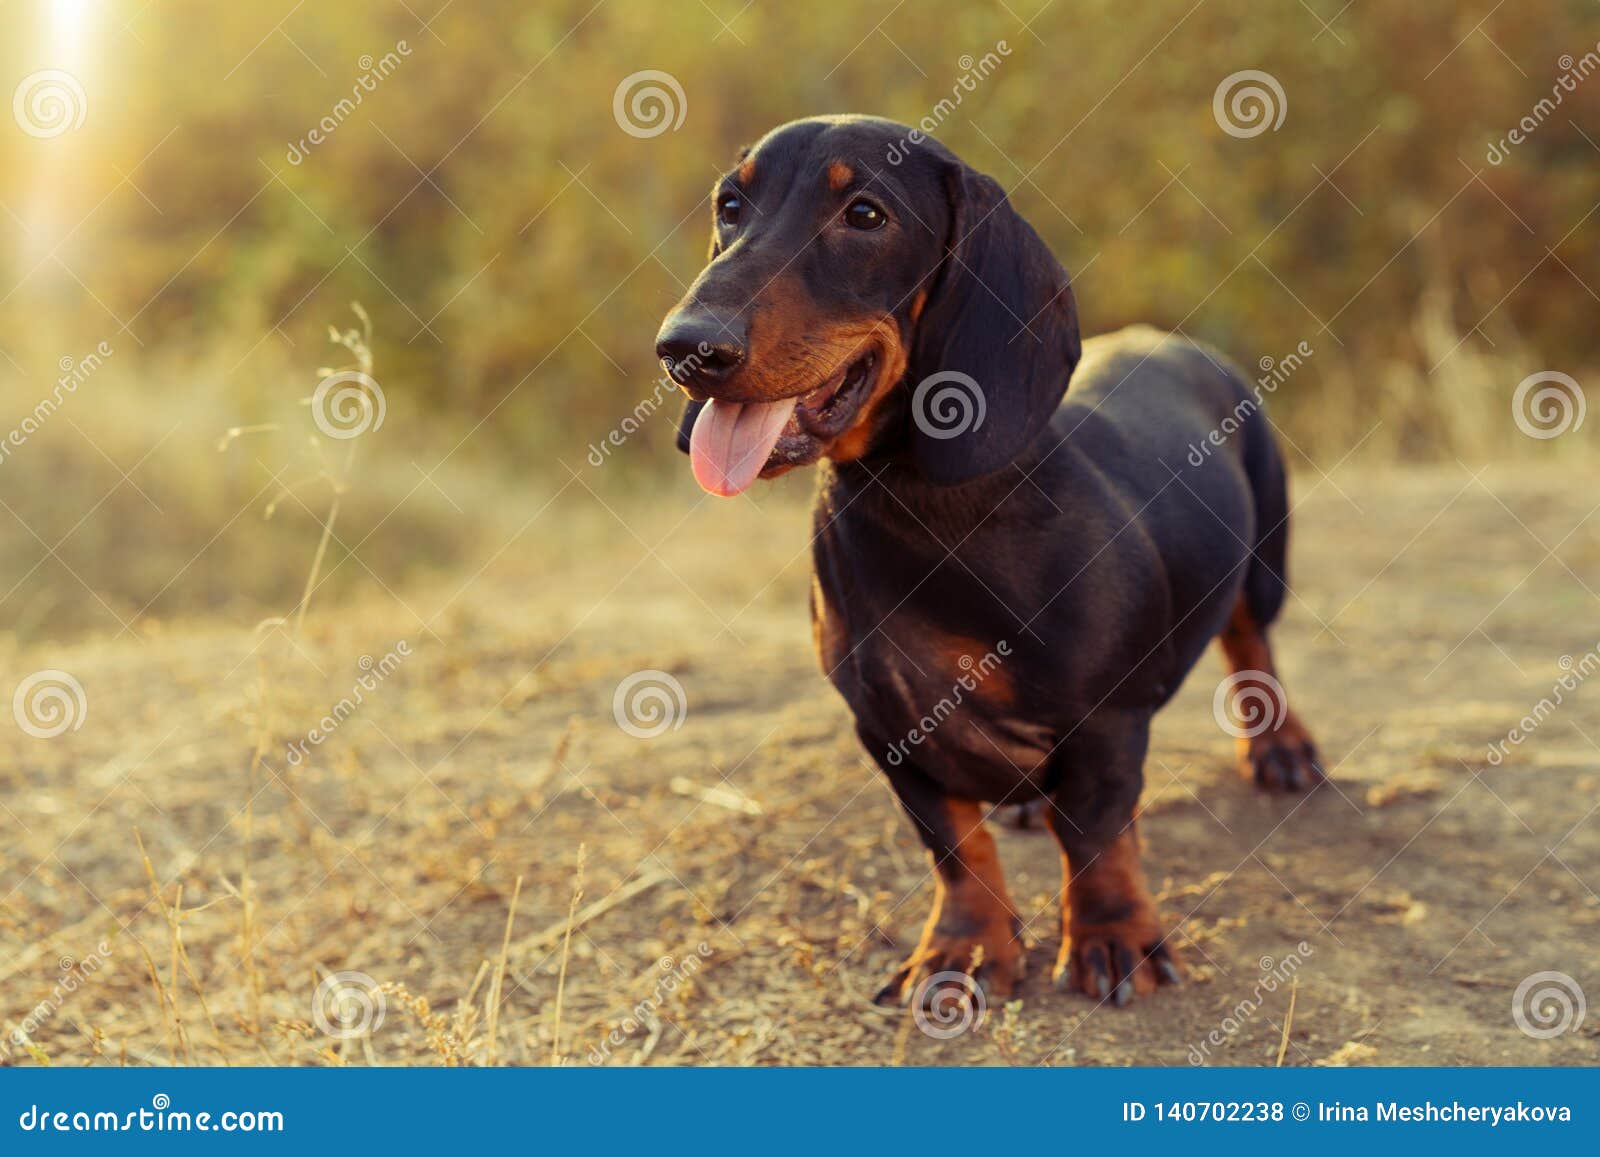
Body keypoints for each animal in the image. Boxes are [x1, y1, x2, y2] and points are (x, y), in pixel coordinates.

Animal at [652, 112, 1324, 1011]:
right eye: (731, 205)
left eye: (865, 215)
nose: (685, 348)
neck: (925, 511)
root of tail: (1181, 343)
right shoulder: (887, 727)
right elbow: (956, 847)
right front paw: (963, 949)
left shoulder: (1106, 717)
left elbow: (1097, 832)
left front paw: (1112, 935)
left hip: (1262, 562)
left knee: (1253, 646)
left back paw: (1281, 748)